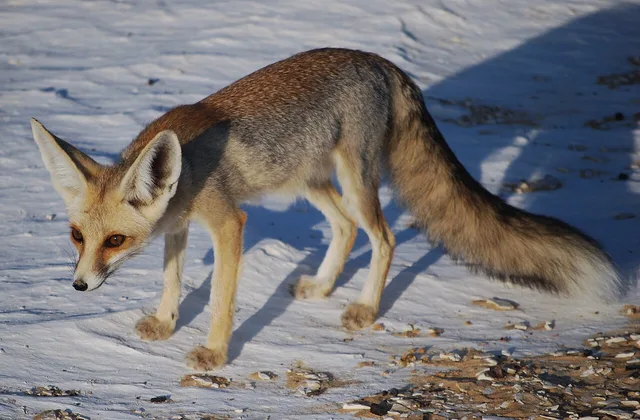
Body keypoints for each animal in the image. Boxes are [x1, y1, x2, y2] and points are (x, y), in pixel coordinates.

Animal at [30, 48, 621, 371]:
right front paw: (165, 322)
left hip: (354, 179)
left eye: (115, 241)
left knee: (383, 237)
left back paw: (364, 308)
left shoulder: (227, 221)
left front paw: (215, 354)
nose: (79, 286)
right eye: (77, 237)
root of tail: (382, 61)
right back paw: (323, 285)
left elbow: (220, 300)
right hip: (310, 181)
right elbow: (172, 280)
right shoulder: (178, 226)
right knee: (346, 229)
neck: (188, 171)